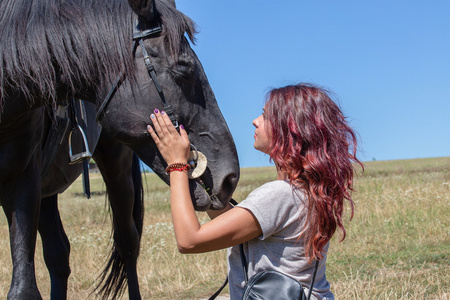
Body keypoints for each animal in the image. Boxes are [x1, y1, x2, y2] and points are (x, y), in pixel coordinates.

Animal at [0, 1, 241, 298]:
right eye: (184, 69)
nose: (229, 178)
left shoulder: (23, 183)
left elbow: (24, 288)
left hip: (115, 169)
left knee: (126, 244)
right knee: (58, 254)